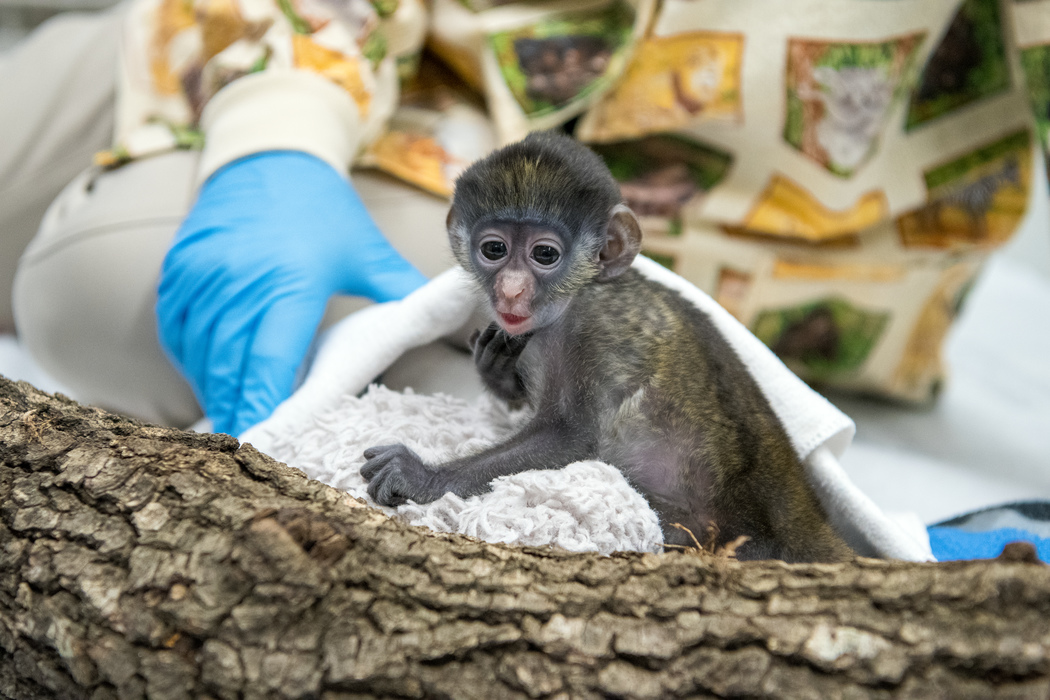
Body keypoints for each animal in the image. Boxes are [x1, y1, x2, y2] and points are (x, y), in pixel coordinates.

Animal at [361, 131, 852, 562]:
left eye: (544, 255)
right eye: (495, 249)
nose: (512, 289)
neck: (579, 295)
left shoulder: (595, 327)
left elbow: (570, 437)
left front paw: (420, 476)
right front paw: (494, 367)